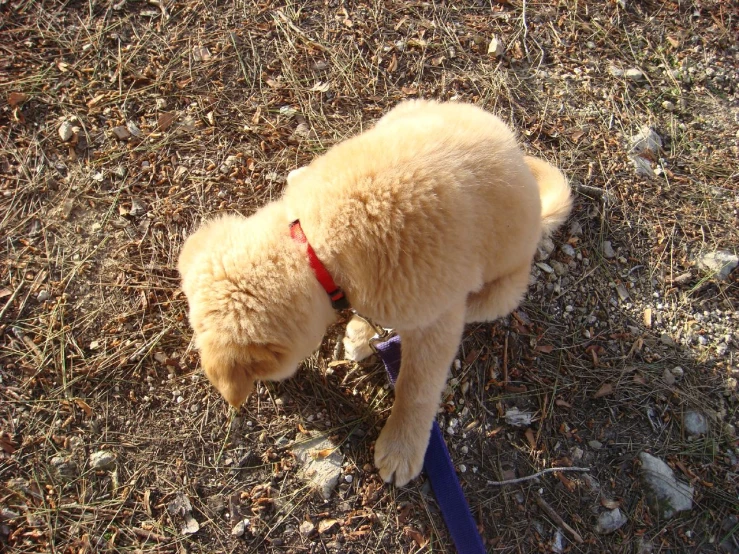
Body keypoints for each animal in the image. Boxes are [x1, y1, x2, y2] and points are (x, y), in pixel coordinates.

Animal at [178, 99, 572, 484]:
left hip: (500, 292)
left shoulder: (438, 321)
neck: (316, 248)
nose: (270, 394)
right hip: (405, 110)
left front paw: (401, 448)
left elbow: (416, 388)